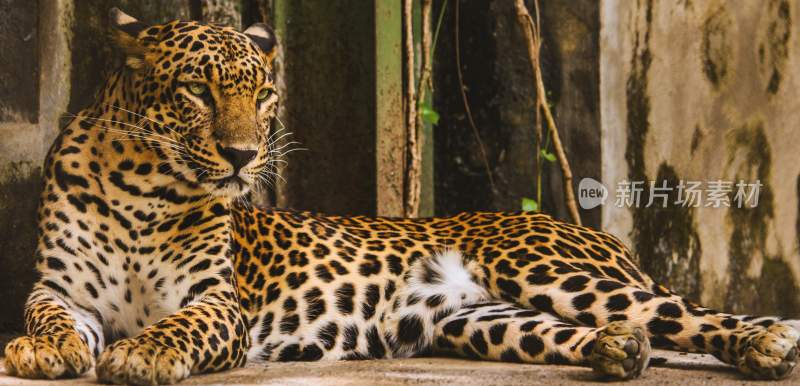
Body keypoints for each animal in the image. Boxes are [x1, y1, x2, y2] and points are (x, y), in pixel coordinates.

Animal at [1, 7, 800, 384]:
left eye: (263, 97)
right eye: (197, 90)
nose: (242, 155)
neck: (144, 189)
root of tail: (602, 236)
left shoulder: (217, 303)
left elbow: (178, 327)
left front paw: (141, 354)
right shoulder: (60, 288)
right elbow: (49, 318)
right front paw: (41, 350)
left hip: (548, 270)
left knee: (695, 315)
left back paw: (767, 343)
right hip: (479, 321)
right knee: (609, 331)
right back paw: (617, 350)